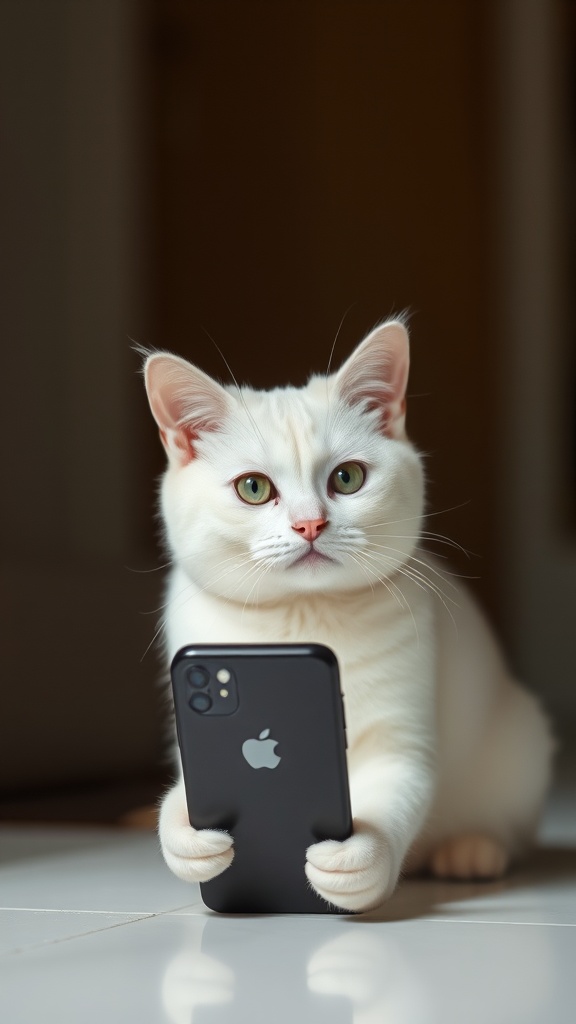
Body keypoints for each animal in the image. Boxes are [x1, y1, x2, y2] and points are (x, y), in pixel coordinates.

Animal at [142, 319, 553, 913]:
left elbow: (395, 791)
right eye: (252, 487)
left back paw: (472, 849)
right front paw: (187, 836)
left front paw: (355, 861)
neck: (302, 617)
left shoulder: (401, 740)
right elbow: (185, 790)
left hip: (520, 747)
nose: (310, 524)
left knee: (508, 829)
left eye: (348, 478)